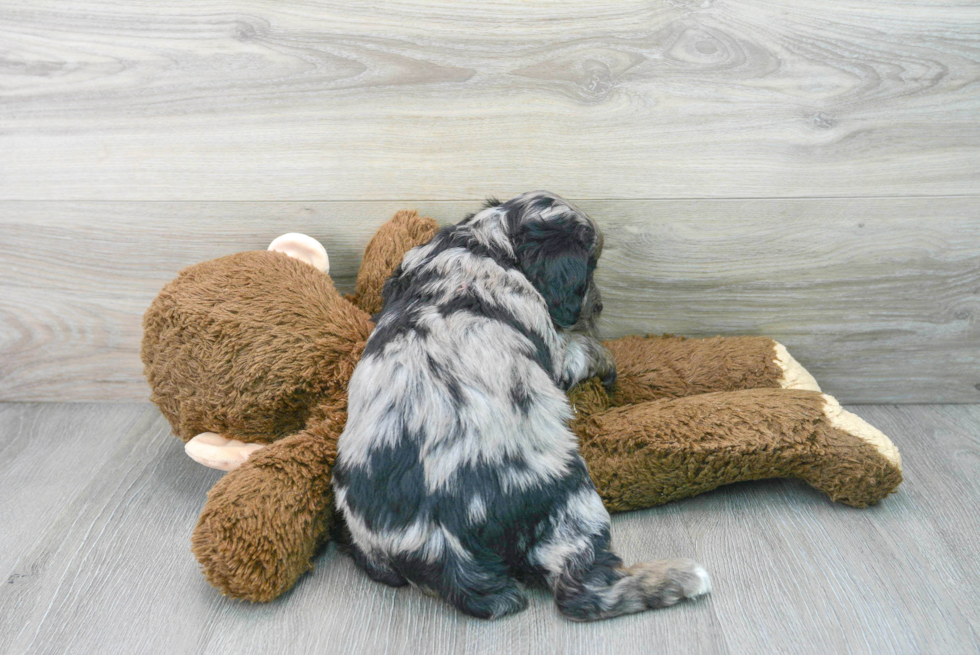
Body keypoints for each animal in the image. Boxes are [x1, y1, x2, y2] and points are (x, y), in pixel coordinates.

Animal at [334, 192, 708, 624]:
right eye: (591, 266)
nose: (598, 307)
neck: (484, 242)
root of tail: (442, 541)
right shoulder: (560, 353)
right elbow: (584, 349)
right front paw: (605, 359)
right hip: (569, 499)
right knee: (583, 589)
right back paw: (682, 578)